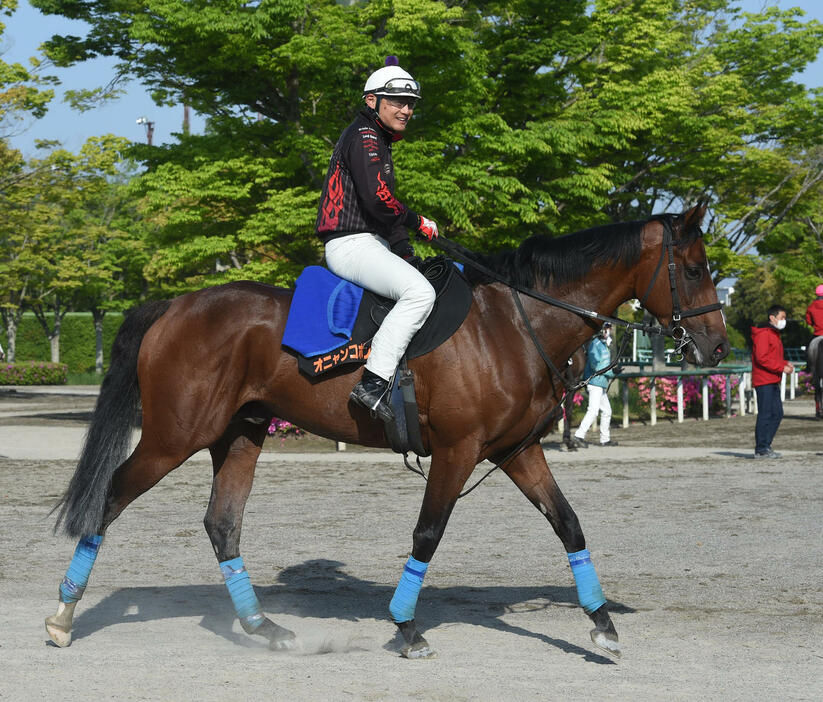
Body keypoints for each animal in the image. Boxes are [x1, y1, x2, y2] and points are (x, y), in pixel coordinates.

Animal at [46, 202, 728, 660]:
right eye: (695, 268)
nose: (719, 347)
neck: (514, 323)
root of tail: (175, 303)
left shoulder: (517, 450)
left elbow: (569, 525)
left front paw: (602, 623)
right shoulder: (457, 451)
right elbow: (427, 534)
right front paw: (404, 625)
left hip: (238, 436)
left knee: (222, 524)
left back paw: (263, 628)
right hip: (172, 439)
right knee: (107, 501)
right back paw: (63, 615)